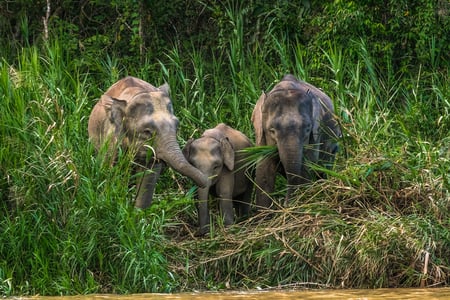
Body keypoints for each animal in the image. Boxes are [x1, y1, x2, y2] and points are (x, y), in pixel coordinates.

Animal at [88, 76, 209, 209]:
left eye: (177, 126)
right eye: (147, 131)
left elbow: (148, 174)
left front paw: (139, 212)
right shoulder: (111, 137)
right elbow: (108, 167)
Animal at [251, 73, 340, 209]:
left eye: (307, 128)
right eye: (272, 130)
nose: (284, 203)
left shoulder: (316, 133)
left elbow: (307, 166)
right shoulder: (260, 135)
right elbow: (263, 170)